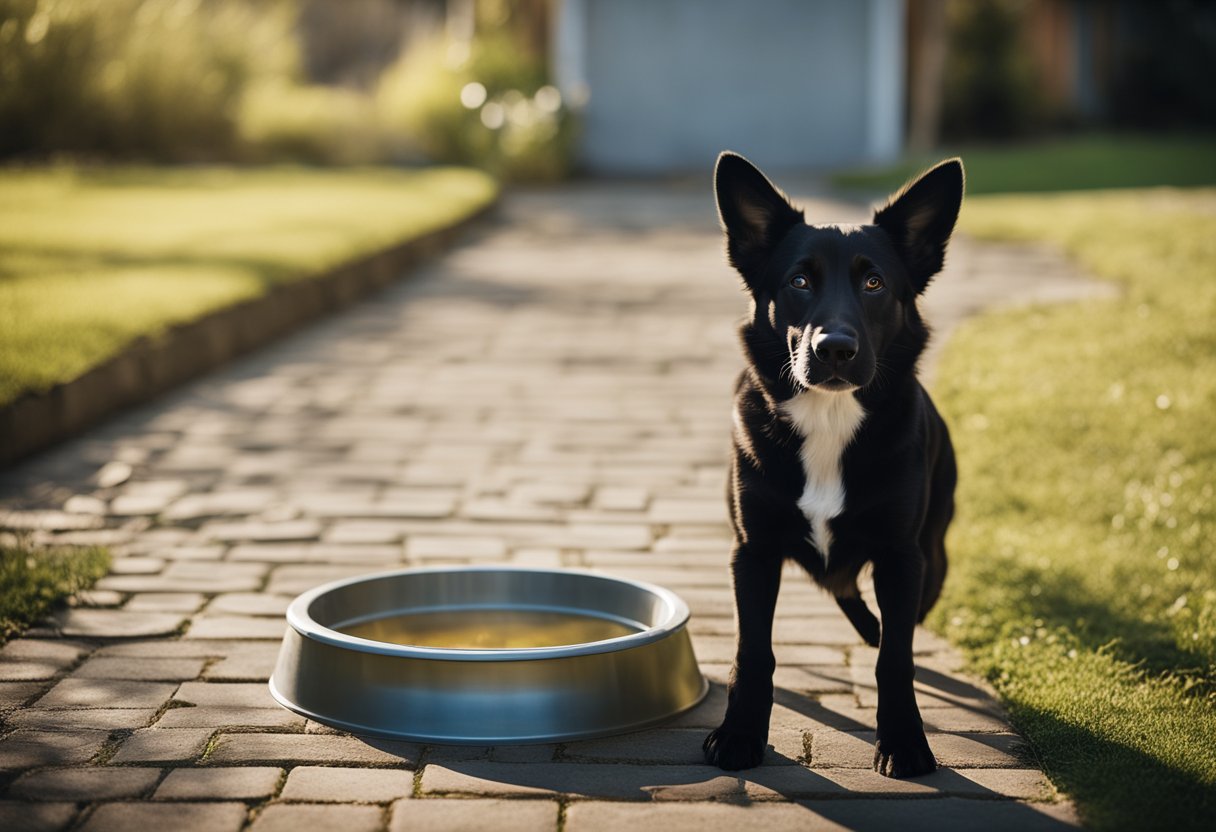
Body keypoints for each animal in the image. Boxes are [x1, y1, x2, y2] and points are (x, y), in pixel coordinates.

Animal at [700, 152, 963, 778]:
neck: (829, 420)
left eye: (874, 283)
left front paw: (904, 741)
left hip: (934, 557)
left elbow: (896, 657)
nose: (835, 350)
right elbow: (753, 651)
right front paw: (740, 734)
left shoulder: (901, 556)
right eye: (799, 281)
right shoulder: (752, 552)